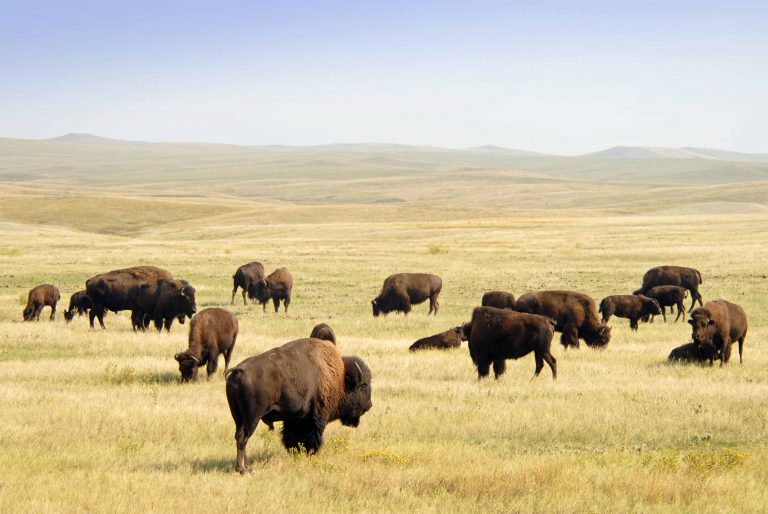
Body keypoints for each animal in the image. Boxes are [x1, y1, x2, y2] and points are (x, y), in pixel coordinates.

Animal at [225, 338, 372, 474]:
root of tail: (239, 371)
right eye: (362, 386)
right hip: (252, 417)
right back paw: (243, 470)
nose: (369, 405)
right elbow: (312, 438)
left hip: (238, 417)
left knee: (239, 436)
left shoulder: (295, 419)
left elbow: (292, 438)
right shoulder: (316, 418)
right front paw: (310, 454)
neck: (340, 379)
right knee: (243, 437)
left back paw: (248, 467)